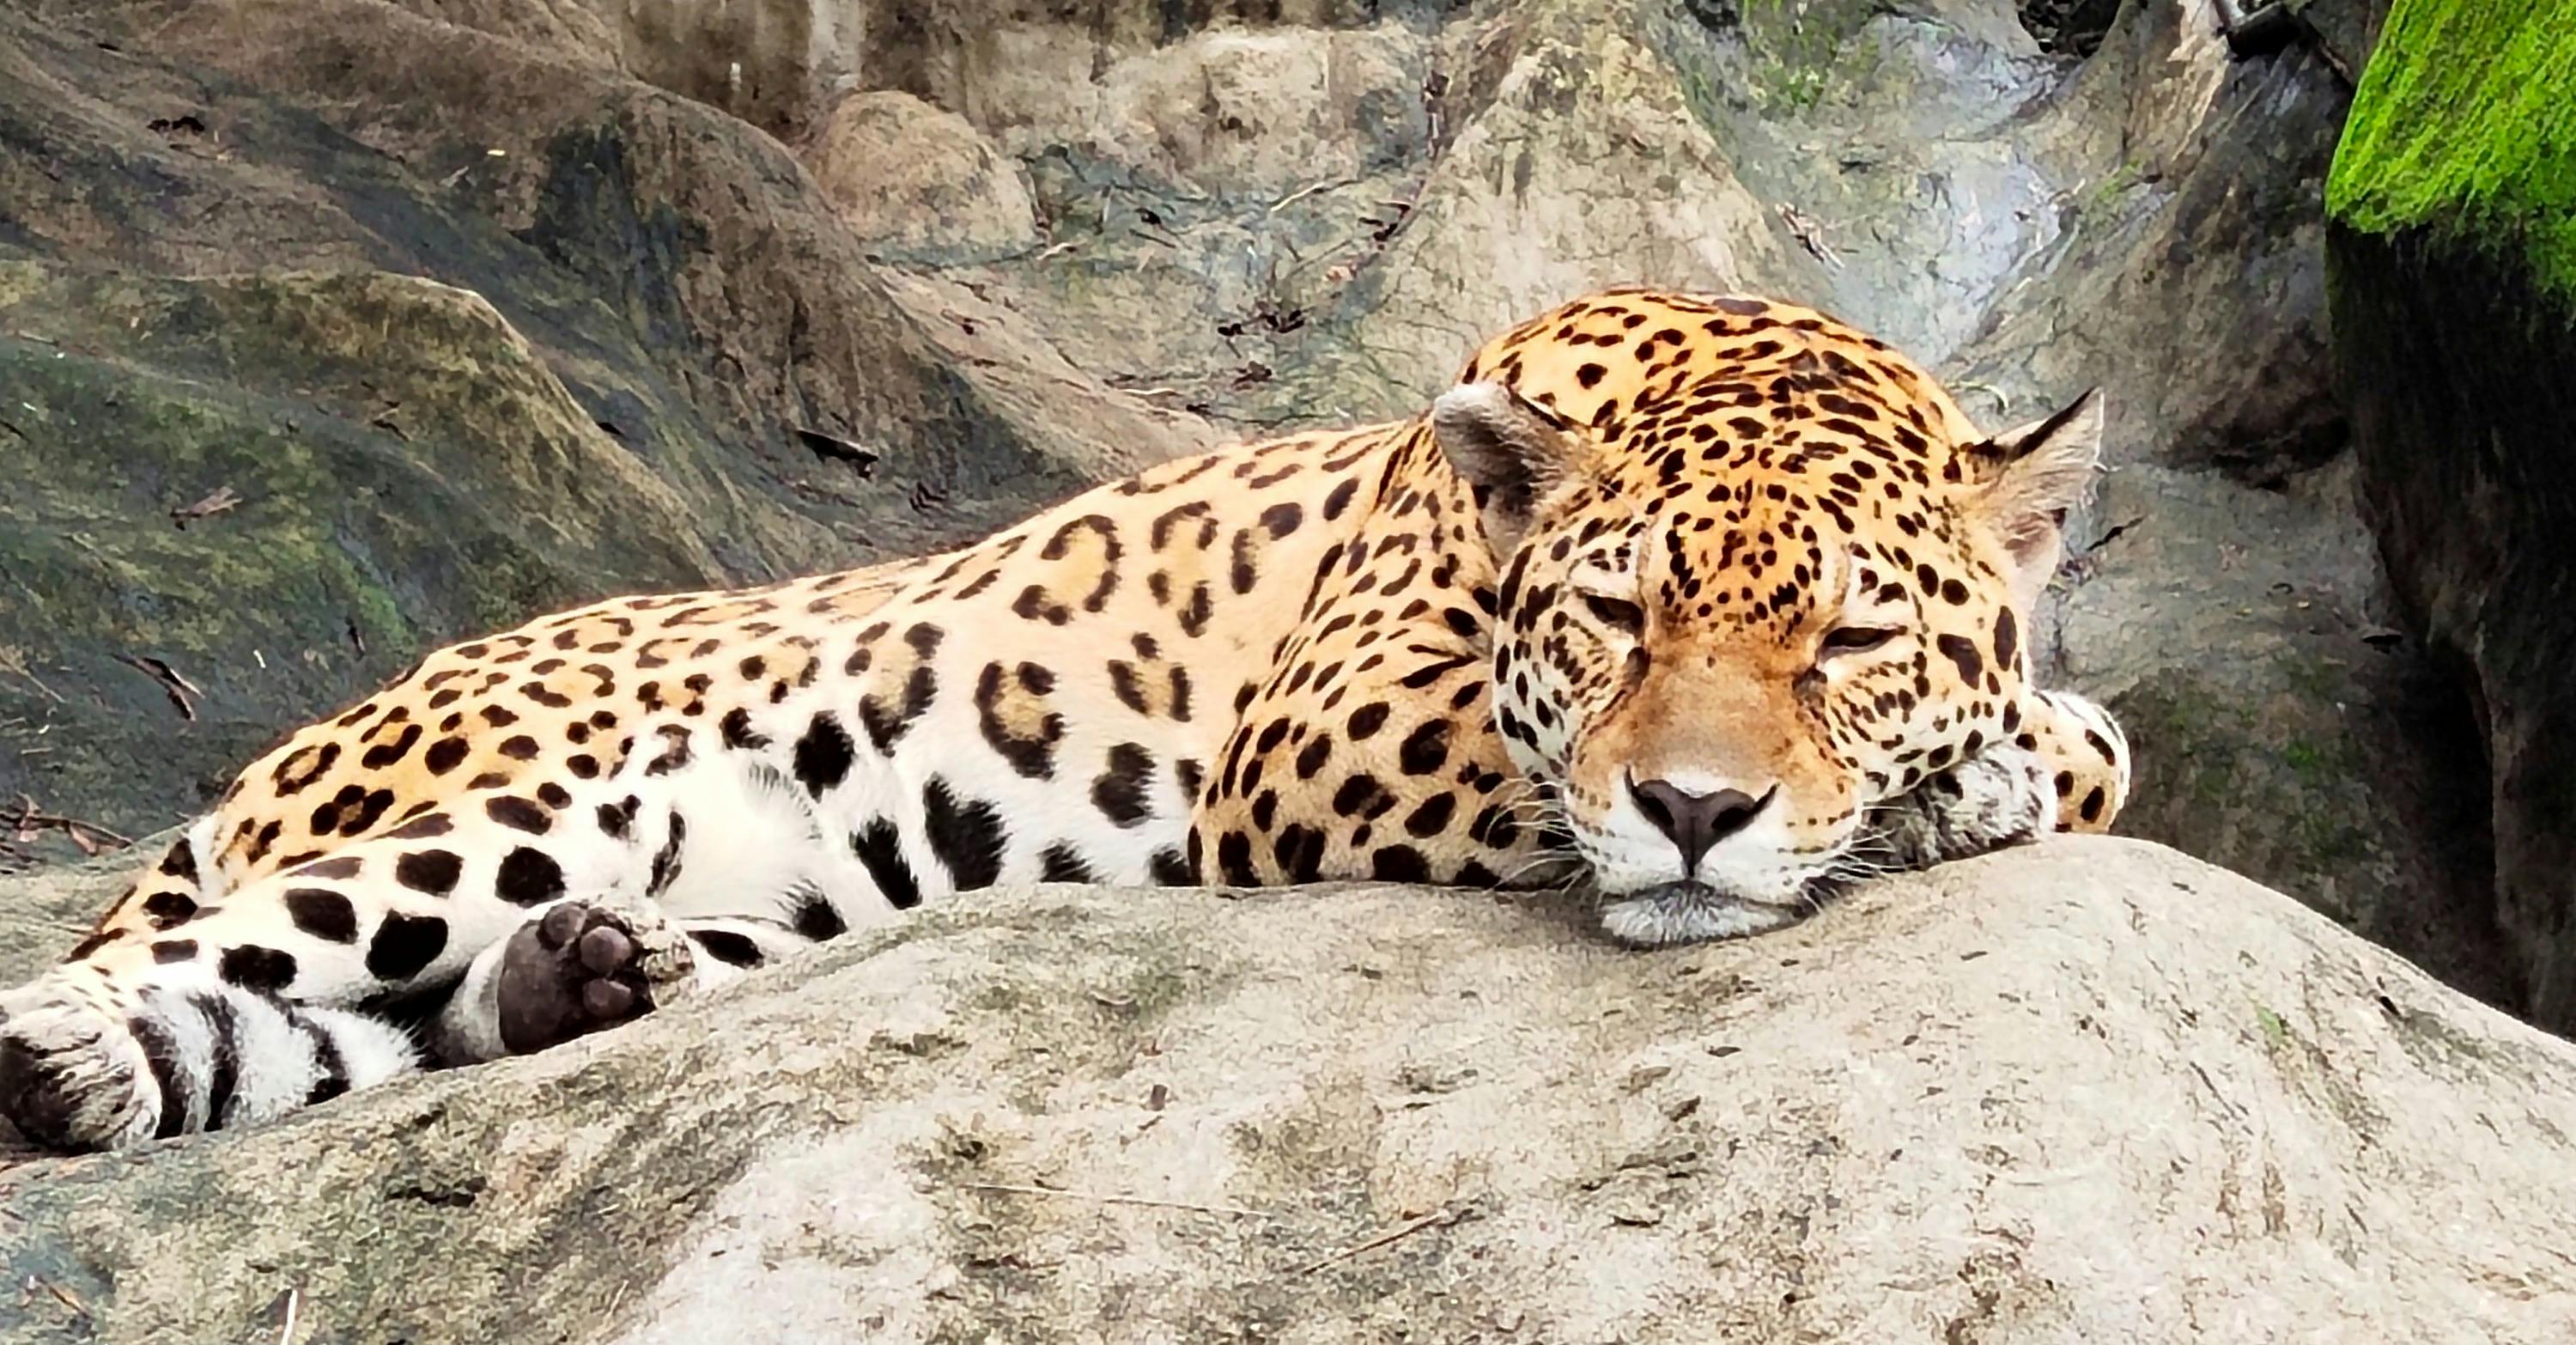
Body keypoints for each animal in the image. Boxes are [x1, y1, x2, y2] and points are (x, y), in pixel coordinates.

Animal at [0, 288, 2131, 1152]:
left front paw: (1970, 772)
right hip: (504, 803)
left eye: (1851, 637)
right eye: (1617, 619)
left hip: (758, 907)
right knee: (213, 944)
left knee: (402, 1020)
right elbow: (1550, 770)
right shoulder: (1326, 730)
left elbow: (2097, 746)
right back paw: (74, 1051)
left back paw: (571, 987)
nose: (1698, 812)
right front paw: (1935, 796)